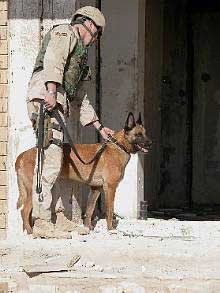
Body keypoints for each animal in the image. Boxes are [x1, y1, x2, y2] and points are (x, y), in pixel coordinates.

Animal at [15, 112, 151, 233]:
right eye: (138, 134)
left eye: (145, 133)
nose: (150, 143)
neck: (119, 146)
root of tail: (22, 155)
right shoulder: (110, 187)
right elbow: (110, 209)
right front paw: (110, 228)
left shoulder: (96, 189)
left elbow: (90, 210)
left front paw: (88, 227)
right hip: (36, 189)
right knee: (24, 211)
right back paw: (30, 232)